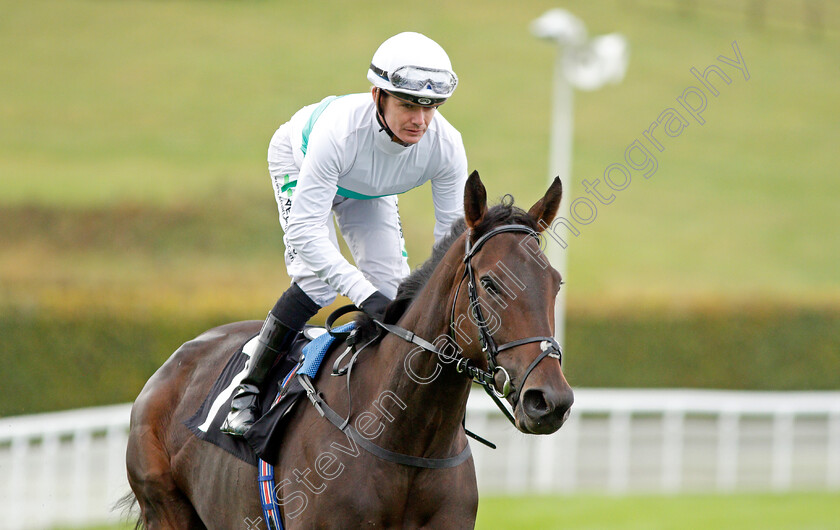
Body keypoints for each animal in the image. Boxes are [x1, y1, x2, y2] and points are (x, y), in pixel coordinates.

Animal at [123, 171, 572, 524]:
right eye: (492, 283)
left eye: (556, 283)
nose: (550, 401)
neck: (407, 439)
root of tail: (175, 361)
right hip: (166, 507)